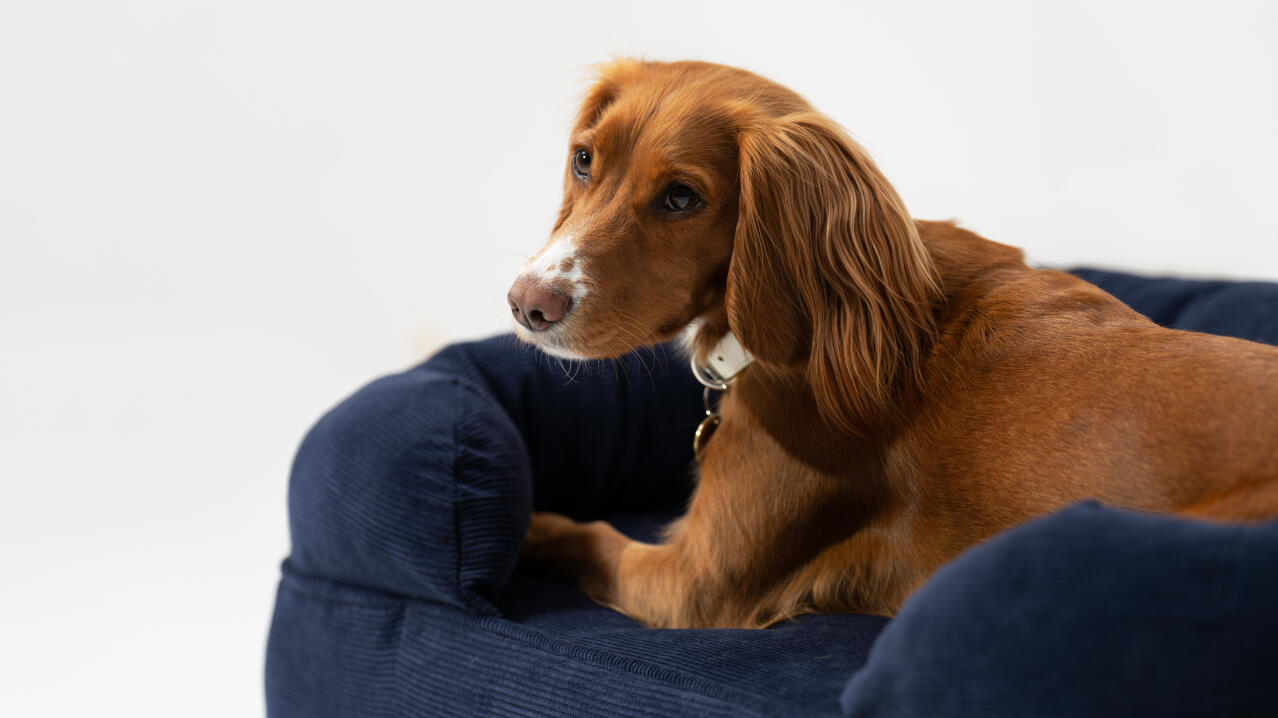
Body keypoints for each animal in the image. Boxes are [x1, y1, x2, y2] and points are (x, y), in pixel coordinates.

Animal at [503, 58, 1272, 626]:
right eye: (583, 159)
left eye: (682, 198)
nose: (526, 305)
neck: (820, 323)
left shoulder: (693, 582)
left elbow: (587, 534)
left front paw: (528, 529)